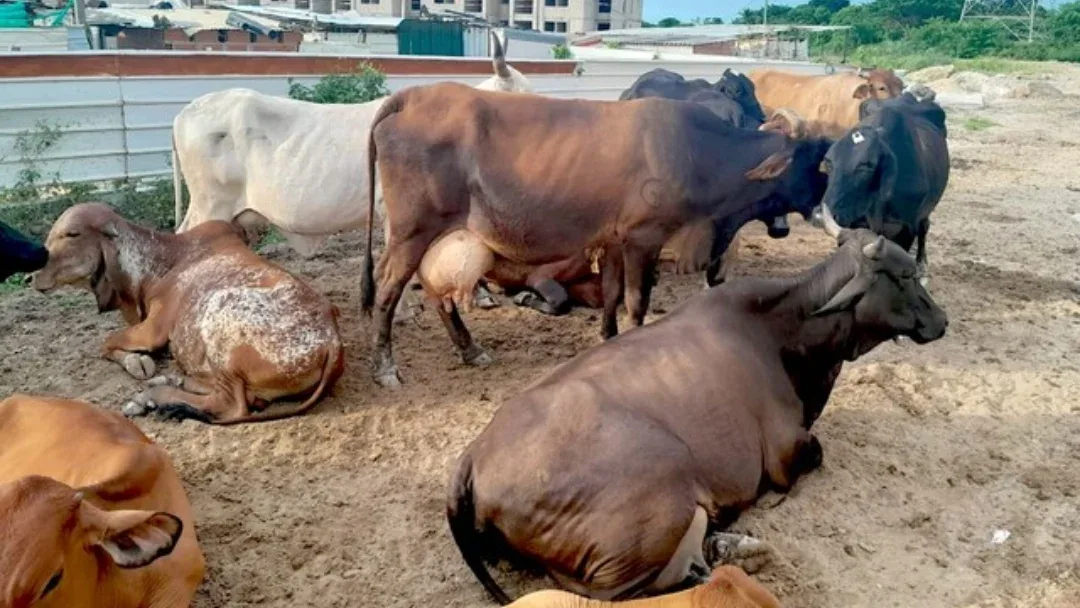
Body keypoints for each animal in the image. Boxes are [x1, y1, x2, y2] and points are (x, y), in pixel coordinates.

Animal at [30, 203, 344, 425]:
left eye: (72, 233)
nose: (32, 275)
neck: (161, 262)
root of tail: (332, 342)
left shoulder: (153, 329)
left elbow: (107, 342)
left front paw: (137, 363)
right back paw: (166, 383)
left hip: (220, 312)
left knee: (232, 405)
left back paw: (153, 398)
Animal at [361, 83, 831, 386]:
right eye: (818, 163)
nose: (827, 203)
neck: (701, 153)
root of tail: (411, 96)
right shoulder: (644, 238)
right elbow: (636, 302)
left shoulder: (613, 240)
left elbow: (610, 294)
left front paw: (606, 340)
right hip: (412, 231)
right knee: (387, 289)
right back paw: (385, 368)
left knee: (436, 294)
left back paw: (469, 349)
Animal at [447, 229, 948, 604]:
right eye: (905, 274)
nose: (942, 321)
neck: (782, 331)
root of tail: (472, 457)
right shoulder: (786, 451)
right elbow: (814, 456)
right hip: (659, 496)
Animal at [818, 92, 949, 284]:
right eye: (829, 161)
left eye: (866, 166)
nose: (820, 215)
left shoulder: (907, 227)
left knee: (924, 227)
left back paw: (922, 269)